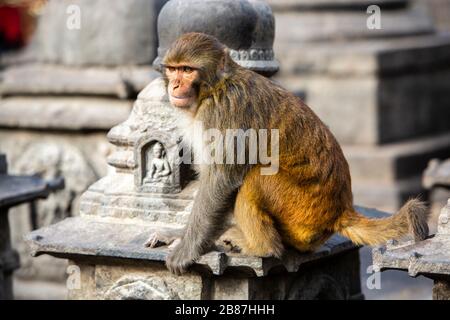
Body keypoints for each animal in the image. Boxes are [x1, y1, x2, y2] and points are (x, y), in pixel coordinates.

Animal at [146, 32, 430, 276]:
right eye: (172, 69)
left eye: (187, 70)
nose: (175, 85)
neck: (215, 87)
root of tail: (340, 211)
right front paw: (179, 235)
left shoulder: (221, 112)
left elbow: (221, 180)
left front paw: (187, 249)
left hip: (301, 212)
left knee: (256, 177)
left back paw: (261, 247)